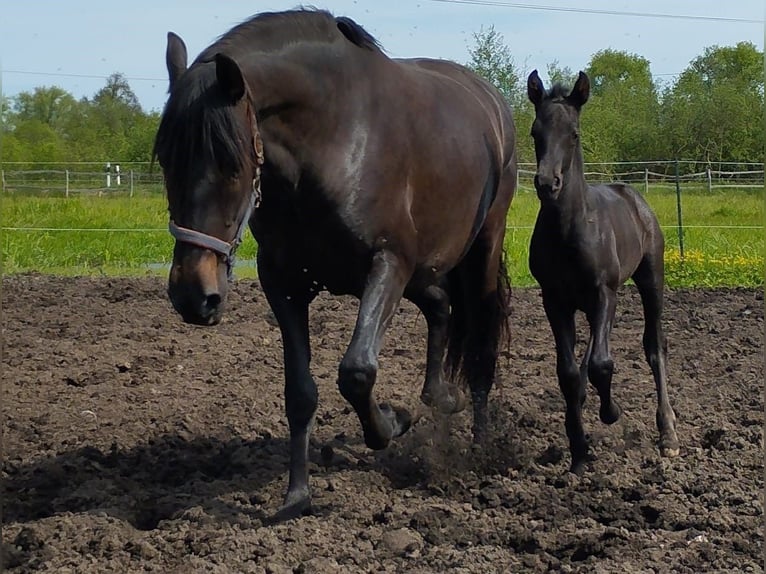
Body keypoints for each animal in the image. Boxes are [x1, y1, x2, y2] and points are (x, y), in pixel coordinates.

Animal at [153, 9, 520, 520]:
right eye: (166, 159)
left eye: (231, 163)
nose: (193, 294)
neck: (337, 138)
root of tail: (493, 104)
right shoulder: (284, 282)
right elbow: (301, 392)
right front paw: (297, 497)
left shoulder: (389, 263)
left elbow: (357, 372)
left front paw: (390, 423)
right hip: (424, 268)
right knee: (440, 307)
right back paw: (440, 397)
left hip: (478, 247)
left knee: (481, 339)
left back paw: (480, 446)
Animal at [524, 71, 680, 476]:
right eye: (534, 131)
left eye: (574, 133)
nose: (547, 183)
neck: (569, 231)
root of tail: (632, 195)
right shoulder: (555, 300)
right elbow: (567, 372)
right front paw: (579, 452)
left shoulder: (604, 292)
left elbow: (602, 364)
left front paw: (611, 412)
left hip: (649, 279)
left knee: (654, 346)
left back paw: (668, 434)